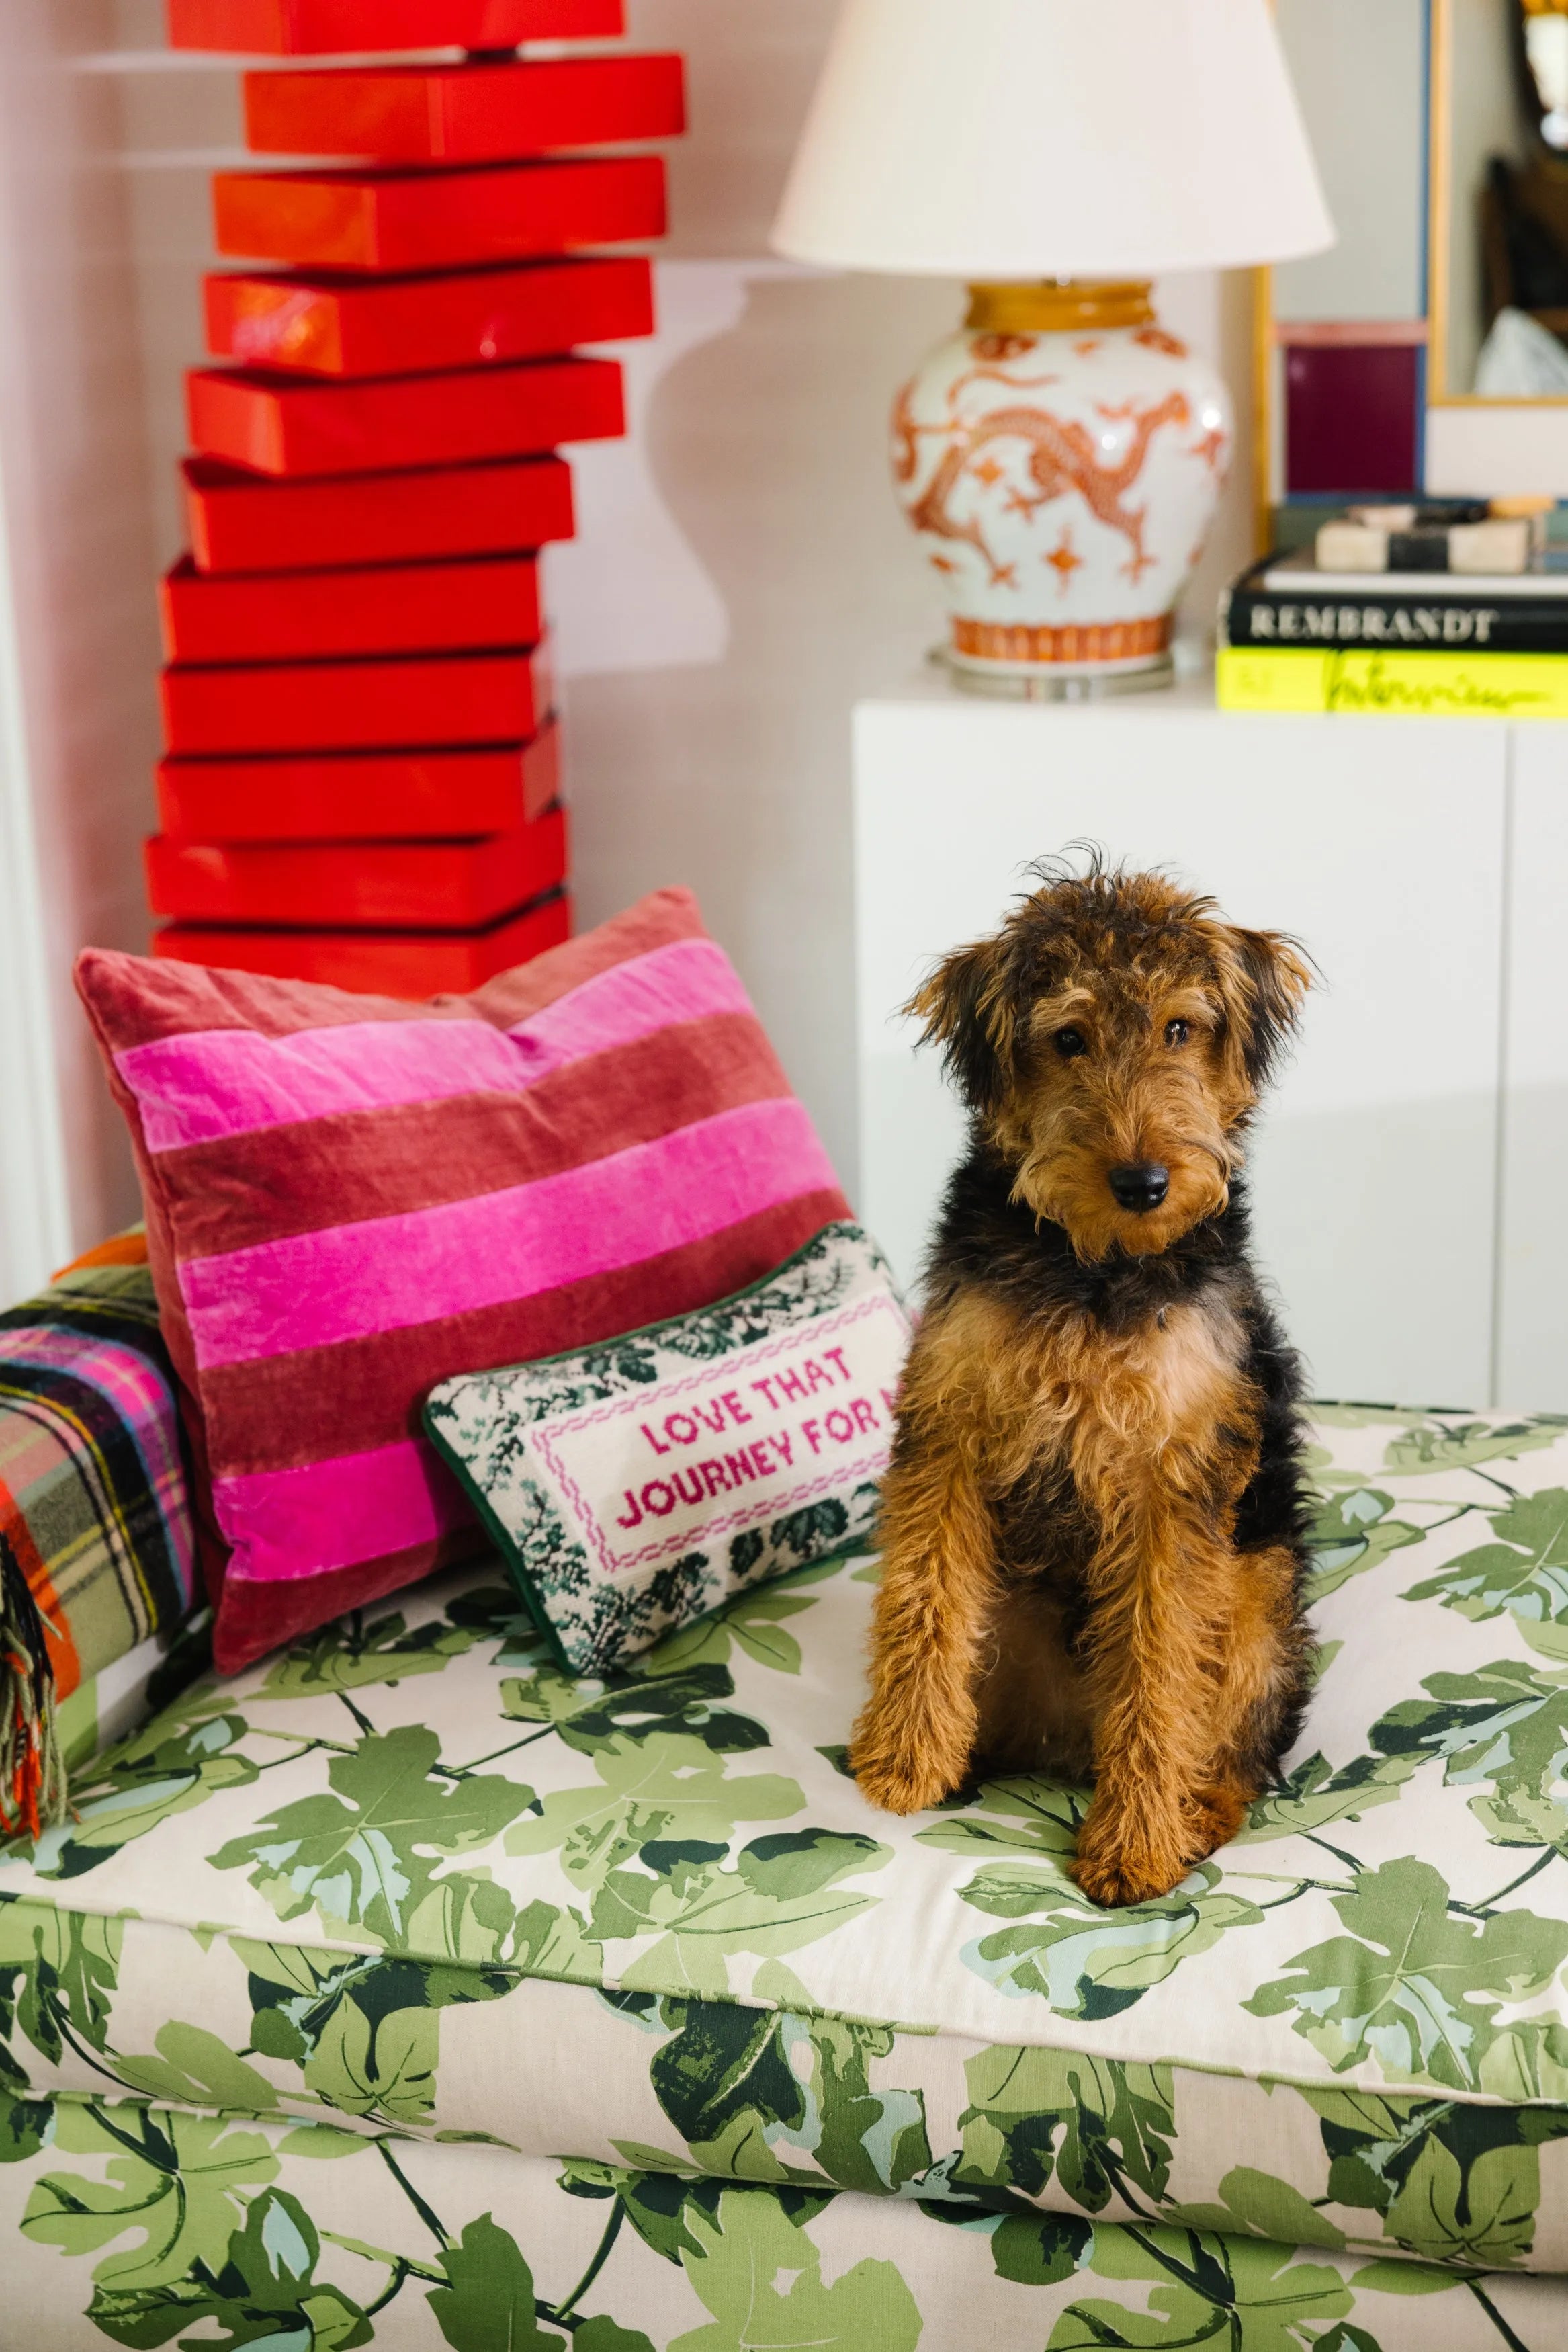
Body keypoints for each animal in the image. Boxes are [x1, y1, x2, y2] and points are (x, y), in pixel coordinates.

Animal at [851, 866, 1316, 1910]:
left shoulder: (1172, 1473)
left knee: (1237, 1748)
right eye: (1067, 1038)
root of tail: (1061, 1746)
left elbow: (1157, 1665)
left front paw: (1134, 1846)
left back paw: (1190, 1814)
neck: (1091, 1269)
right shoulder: (950, 1421)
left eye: (1181, 1028)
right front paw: (904, 1758)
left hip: (1261, 1588)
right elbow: (923, 1597)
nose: (1143, 1183)